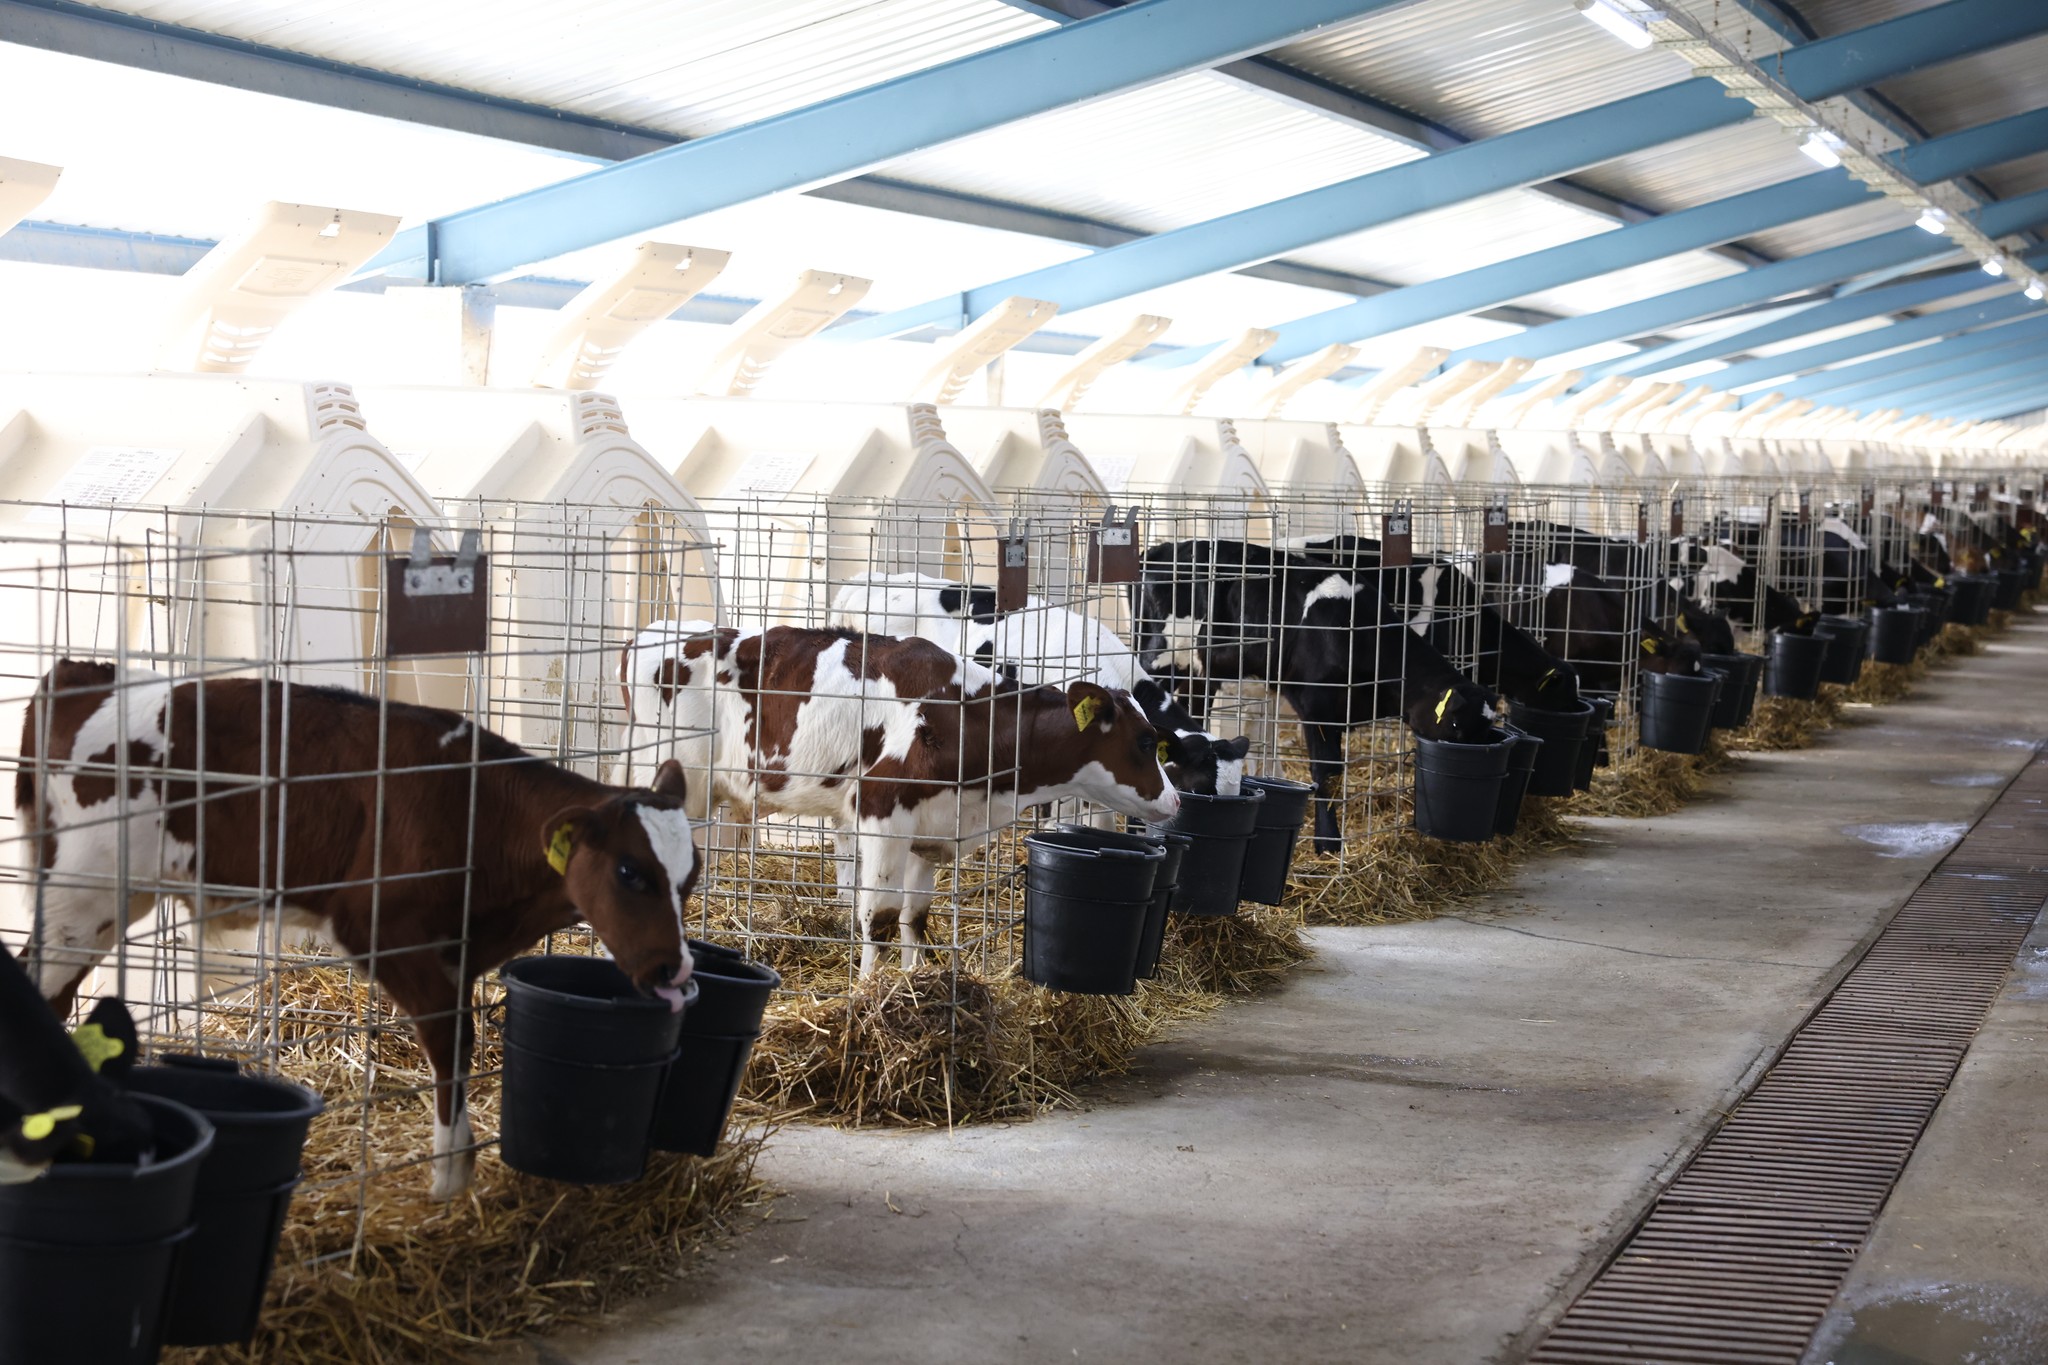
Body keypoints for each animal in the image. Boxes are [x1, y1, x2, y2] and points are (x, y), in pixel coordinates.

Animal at [15, 660, 701, 1199]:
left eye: (690, 876)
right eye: (629, 871)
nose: (675, 969)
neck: (474, 806)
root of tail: (82, 672)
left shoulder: (458, 947)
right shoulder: (378, 926)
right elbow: (450, 1035)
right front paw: (449, 1176)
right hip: (85, 893)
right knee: (41, 990)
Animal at [622, 623, 1179, 976]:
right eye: (1144, 742)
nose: (1175, 801)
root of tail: (648, 638)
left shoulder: (930, 830)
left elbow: (915, 918)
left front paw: (912, 983)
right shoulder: (882, 814)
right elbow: (880, 919)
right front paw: (868, 994)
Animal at [1133, 540, 1497, 852]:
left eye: (1486, 733)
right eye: (1457, 729)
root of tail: (1161, 549)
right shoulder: (1317, 705)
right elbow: (1326, 773)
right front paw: (1328, 843)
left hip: (1200, 672)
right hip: (1160, 657)